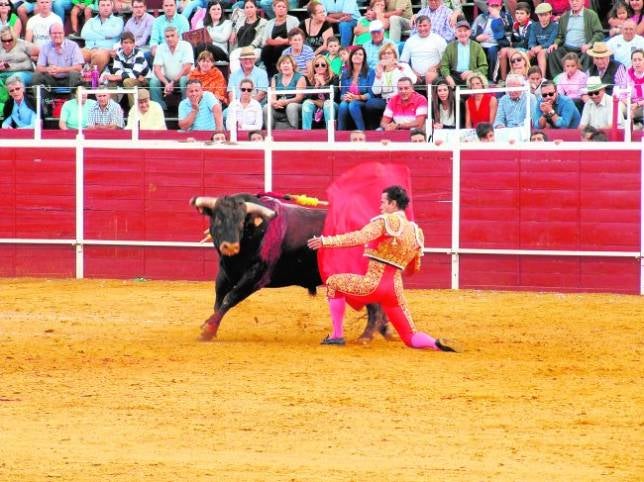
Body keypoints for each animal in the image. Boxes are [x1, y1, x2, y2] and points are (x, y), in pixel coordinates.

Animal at [191, 193, 392, 342]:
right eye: (218, 220)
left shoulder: (256, 276)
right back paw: (384, 331)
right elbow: (219, 300)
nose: (231, 247)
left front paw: (207, 329)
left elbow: (229, 298)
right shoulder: (225, 273)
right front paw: (210, 329)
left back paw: (366, 336)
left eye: (242, 222)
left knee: (374, 303)